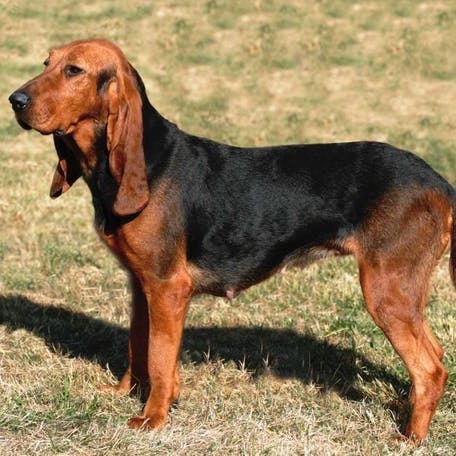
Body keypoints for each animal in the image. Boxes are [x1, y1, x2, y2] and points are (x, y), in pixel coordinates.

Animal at [8, 39, 455, 443]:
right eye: (47, 62)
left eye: (74, 71)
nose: (15, 100)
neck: (145, 164)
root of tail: (439, 182)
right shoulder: (140, 284)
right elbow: (138, 346)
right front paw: (124, 394)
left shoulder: (168, 288)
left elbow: (159, 358)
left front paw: (153, 418)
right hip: (403, 295)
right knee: (435, 356)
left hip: (386, 292)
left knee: (431, 369)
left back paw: (411, 438)